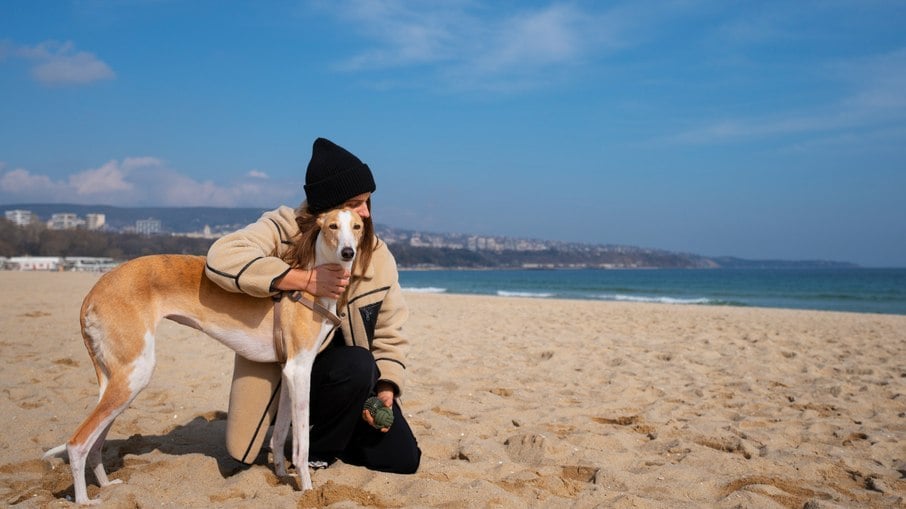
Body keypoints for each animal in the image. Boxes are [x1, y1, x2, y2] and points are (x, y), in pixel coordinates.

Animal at [41, 207, 360, 504]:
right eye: (332, 226)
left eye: (357, 226)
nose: (348, 252)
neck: (315, 283)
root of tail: (92, 294)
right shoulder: (300, 369)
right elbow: (302, 442)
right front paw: (307, 488)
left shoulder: (287, 371)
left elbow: (281, 433)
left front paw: (281, 475)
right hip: (135, 375)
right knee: (77, 443)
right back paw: (84, 500)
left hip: (116, 380)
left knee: (95, 441)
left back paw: (107, 486)